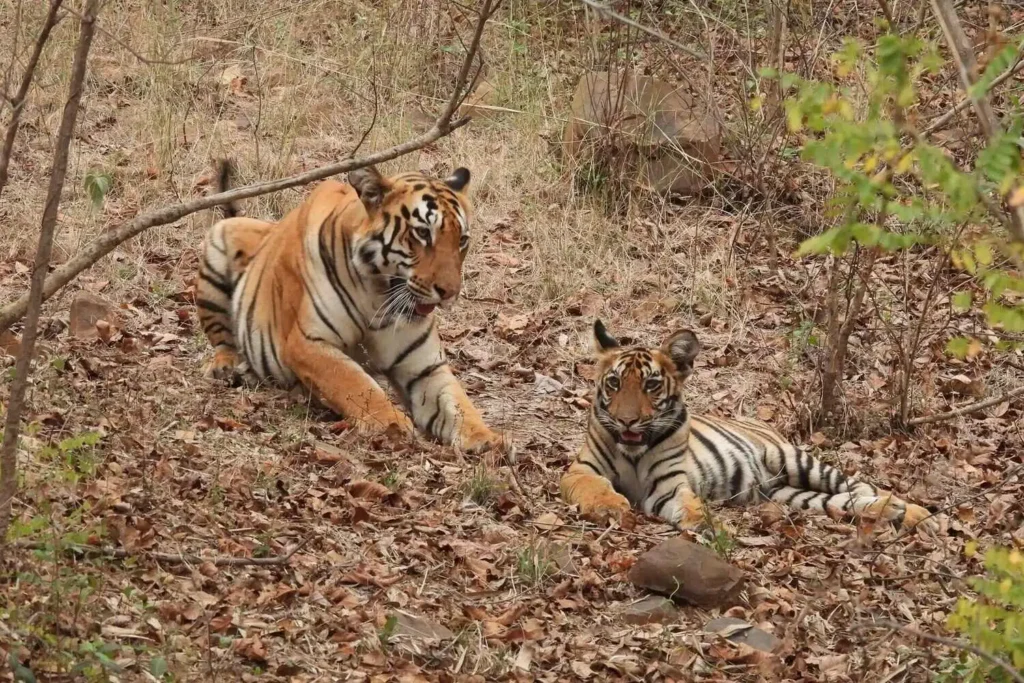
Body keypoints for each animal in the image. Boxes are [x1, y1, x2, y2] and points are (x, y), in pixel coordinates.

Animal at [195, 160, 506, 454]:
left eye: (462, 240)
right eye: (422, 233)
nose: (449, 292)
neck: (379, 296)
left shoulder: (425, 366)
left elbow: (458, 403)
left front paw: (488, 440)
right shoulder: (307, 343)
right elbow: (354, 384)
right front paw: (391, 424)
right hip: (218, 241)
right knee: (222, 341)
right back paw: (227, 367)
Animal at [560, 320, 938, 533]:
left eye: (651, 385)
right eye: (614, 383)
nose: (627, 420)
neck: (634, 452)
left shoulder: (668, 485)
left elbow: (688, 503)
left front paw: (705, 523)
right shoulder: (580, 470)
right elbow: (593, 487)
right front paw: (610, 506)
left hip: (796, 460)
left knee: (859, 485)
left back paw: (915, 512)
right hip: (791, 494)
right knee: (844, 500)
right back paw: (893, 512)